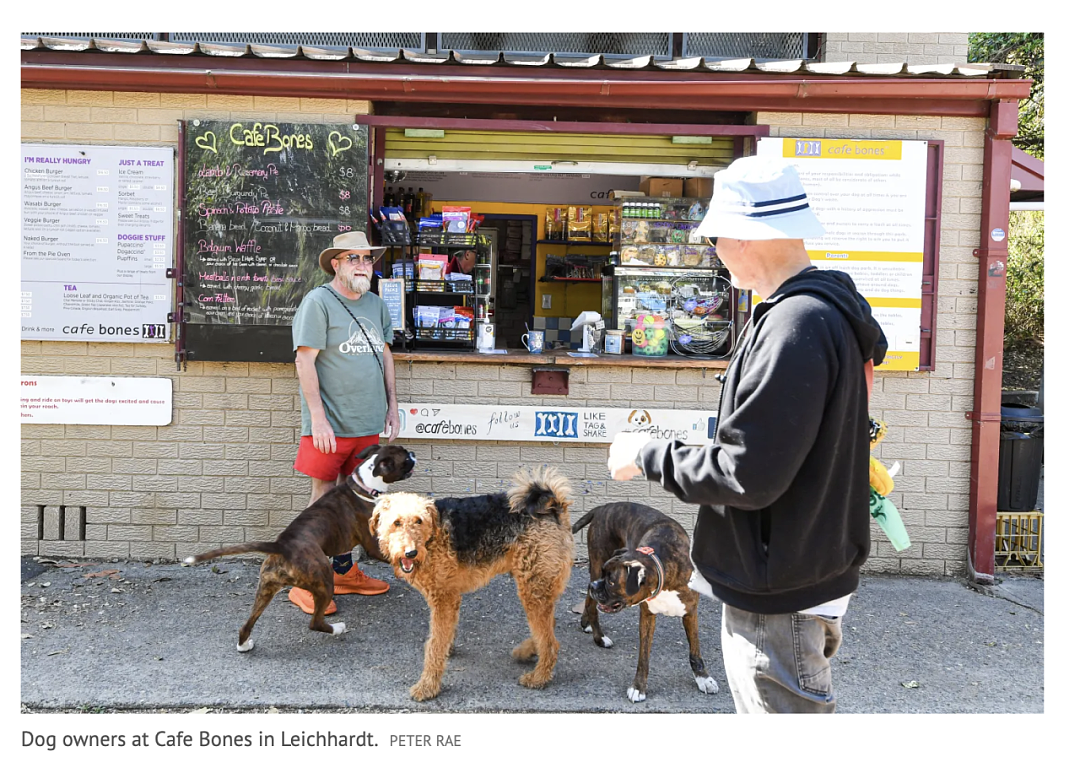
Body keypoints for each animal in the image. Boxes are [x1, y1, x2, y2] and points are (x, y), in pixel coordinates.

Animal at [185, 442, 412, 651]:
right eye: (405, 458)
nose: (413, 453)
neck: (364, 486)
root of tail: (280, 546)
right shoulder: (372, 544)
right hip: (323, 581)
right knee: (315, 622)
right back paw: (337, 628)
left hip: (266, 588)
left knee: (246, 624)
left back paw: (244, 645)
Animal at [369, 466, 574, 703]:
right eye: (396, 522)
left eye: (419, 521)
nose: (411, 553)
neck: (432, 537)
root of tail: (554, 505)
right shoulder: (449, 597)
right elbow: (443, 636)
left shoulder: (443, 599)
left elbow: (434, 646)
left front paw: (427, 687)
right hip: (540, 584)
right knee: (549, 626)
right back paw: (526, 651)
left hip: (533, 587)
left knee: (550, 643)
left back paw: (537, 678)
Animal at [574, 498, 717, 699]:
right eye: (606, 575)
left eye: (611, 581)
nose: (595, 586)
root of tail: (604, 507)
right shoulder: (647, 615)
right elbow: (643, 657)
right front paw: (639, 687)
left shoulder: (690, 612)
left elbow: (695, 651)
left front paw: (704, 678)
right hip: (596, 561)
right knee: (592, 603)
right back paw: (599, 637)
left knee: (589, 599)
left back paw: (586, 622)